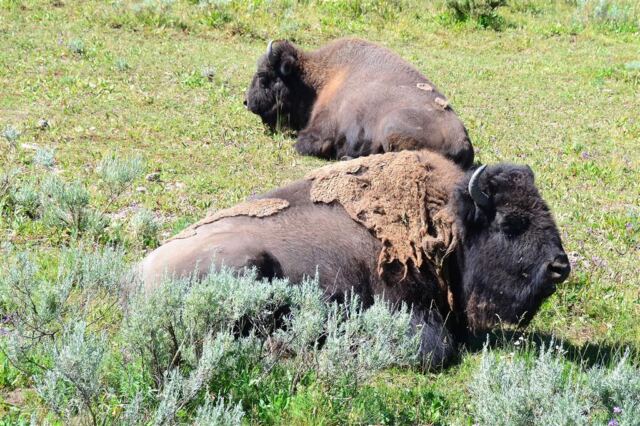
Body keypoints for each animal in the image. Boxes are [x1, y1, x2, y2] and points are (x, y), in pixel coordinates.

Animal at [139, 151, 570, 367]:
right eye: (511, 223)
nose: (560, 267)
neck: (442, 227)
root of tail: (135, 277)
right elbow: (436, 349)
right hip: (248, 263)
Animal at [244, 38, 474, 168]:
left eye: (263, 76)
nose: (247, 102)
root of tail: (463, 144)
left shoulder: (322, 130)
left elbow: (303, 144)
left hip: (391, 127)